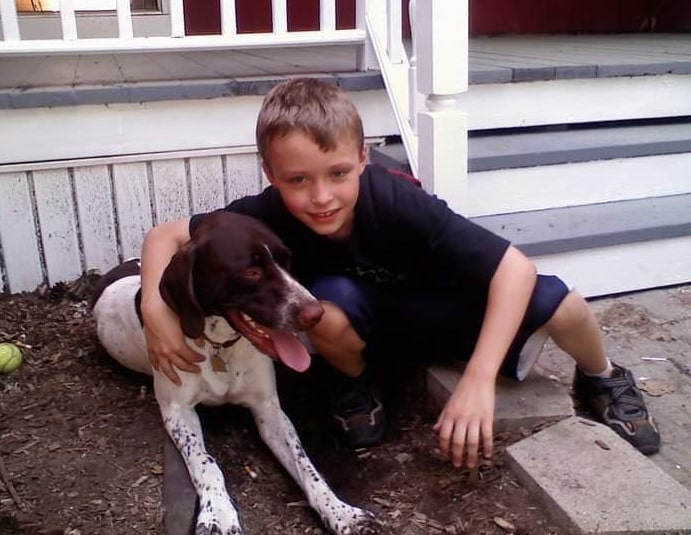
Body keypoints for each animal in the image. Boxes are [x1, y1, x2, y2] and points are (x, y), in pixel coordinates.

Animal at [90, 213, 378, 535]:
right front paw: (218, 514)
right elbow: (205, 462)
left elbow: (306, 465)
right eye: (251, 272)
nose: (316, 314)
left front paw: (341, 512)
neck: (219, 346)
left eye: (286, 259)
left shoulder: (268, 408)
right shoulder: (177, 412)